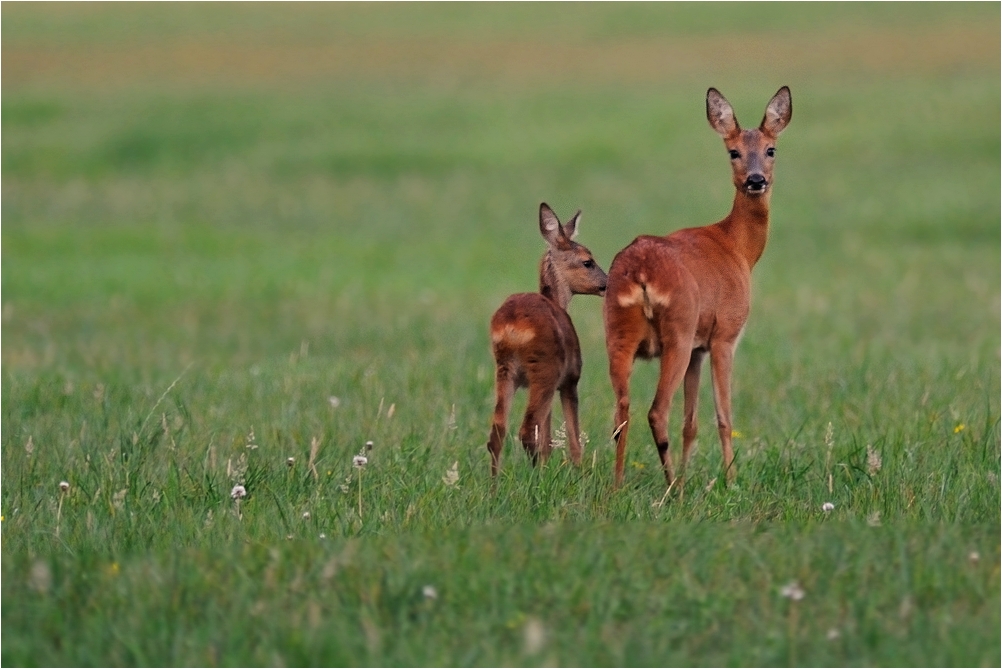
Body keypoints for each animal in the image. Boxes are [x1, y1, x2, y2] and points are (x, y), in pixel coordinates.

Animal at [486, 202, 605, 474]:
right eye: (588, 261)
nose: (607, 283)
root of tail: (513, 326)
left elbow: (548, 435)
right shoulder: (570, 379)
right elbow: (572, 436)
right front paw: (579, 471)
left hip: (505, 369)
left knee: (498, 431)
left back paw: (494, 482)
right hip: (545, 369)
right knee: (527, 430)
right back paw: (537, 475)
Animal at [601, 86, 789, 488]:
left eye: (771, 149)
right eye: (733, 151)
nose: (755, 180)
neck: (737, 247)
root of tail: (641, 273)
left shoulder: (700, 348)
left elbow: (691, 422)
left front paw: (694, 473)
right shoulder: (724, 335)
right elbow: (724, 417)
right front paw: (731, 481)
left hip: (618, 333)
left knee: (621, 412)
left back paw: (618, 486)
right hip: (679, 332)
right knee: (656, 411)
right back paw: (673, 487)